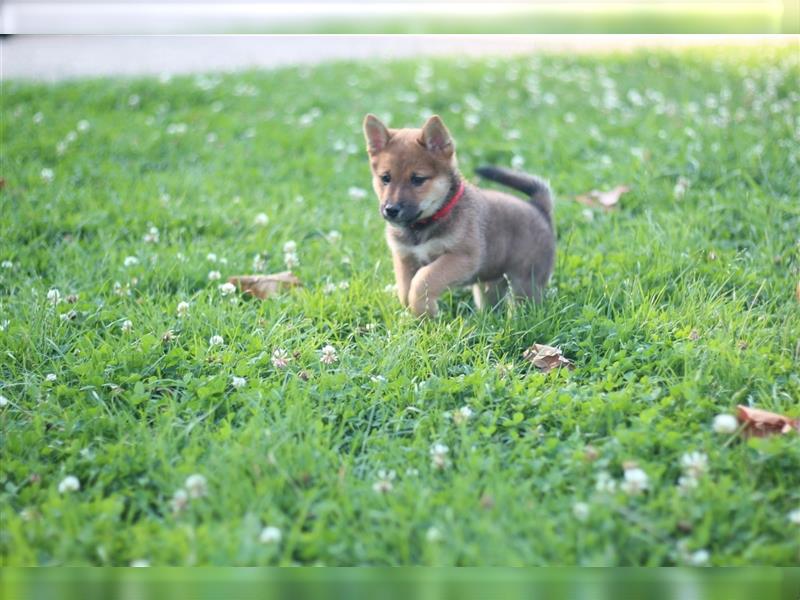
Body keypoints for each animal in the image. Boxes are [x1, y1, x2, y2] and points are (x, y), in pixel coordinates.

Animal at [364, 113, 556, 318]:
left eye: (417, 179)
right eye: (385, 178)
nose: (391, 209)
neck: (423, 226)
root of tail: (539, 208)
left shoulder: (461, 257)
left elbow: (422, 281)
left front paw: (426, 311)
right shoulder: (405, 258)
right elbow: (405, 291)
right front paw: (417, 316)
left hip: (525, 281)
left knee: (525, 304)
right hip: (489, 284)